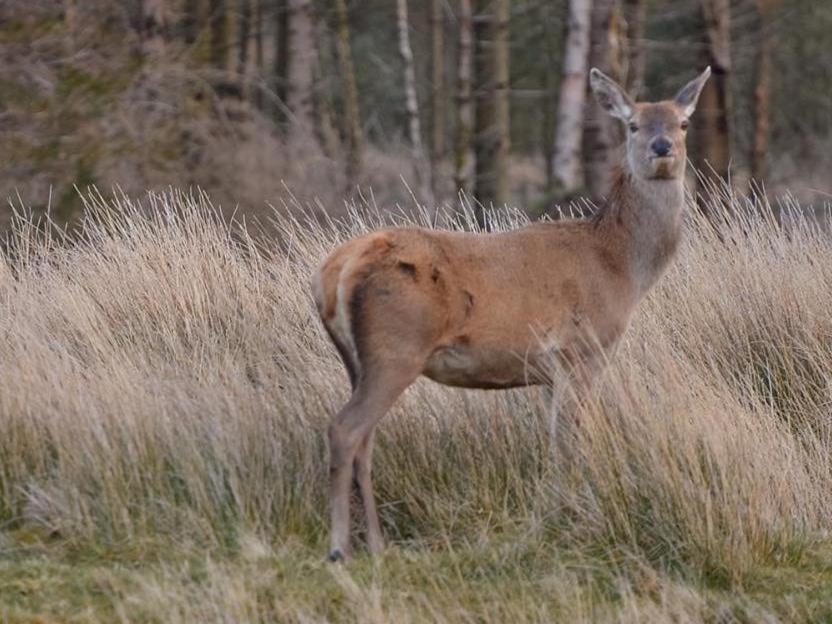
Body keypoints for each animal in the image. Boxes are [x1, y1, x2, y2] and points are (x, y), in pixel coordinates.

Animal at [310, 64, 708, 560]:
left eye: (683, 123)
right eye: (633, 125)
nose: (662, 147)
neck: (620, 267)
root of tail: (334, 270)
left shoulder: (550, 371)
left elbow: (555, 440)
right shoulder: (582, 350)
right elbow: (571, 441)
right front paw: (568, 514)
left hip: (358, 359)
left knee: (364, 438)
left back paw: (378, 544)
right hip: (396, 347)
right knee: (345, 430)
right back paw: (339, 548)